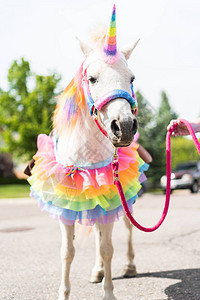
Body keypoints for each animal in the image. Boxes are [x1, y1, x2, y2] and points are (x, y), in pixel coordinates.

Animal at [28, 5, 149, 300]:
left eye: (131, 78)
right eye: (92, 78)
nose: (124, 127)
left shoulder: (112, 200)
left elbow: (108, 248)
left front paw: (109, 293)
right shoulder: (66, 209)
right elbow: (67, 252)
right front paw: (64, 293)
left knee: (126, 229)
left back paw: (129, 266)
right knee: (96, 232)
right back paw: (97, 271)